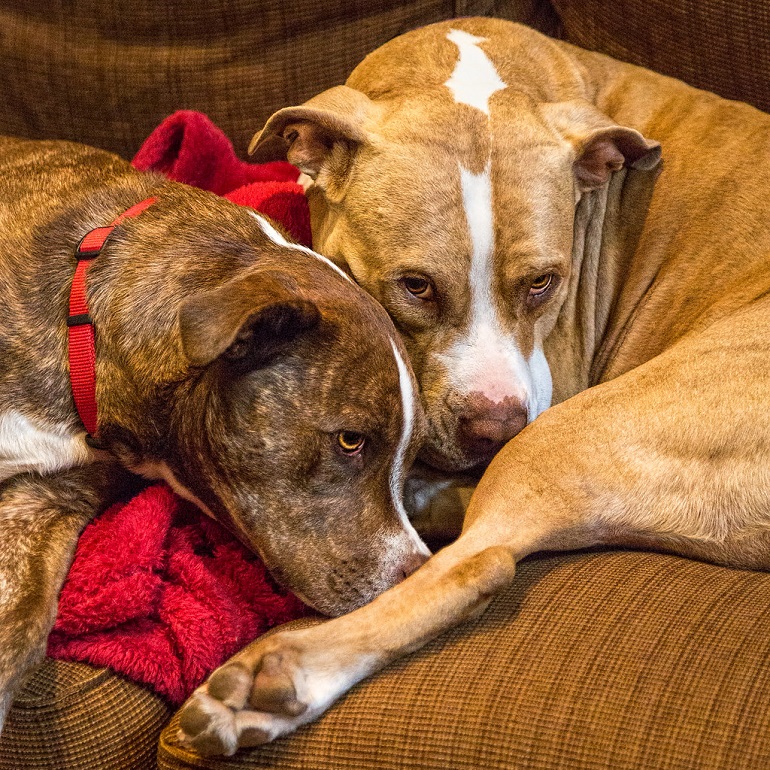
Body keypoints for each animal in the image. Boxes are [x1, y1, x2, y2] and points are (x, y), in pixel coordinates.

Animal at [177, 16, 768, 752]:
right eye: (416, 286)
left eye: (543, 282)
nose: (496, 425)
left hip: (568, 436)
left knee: (476, 565)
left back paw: (274, 685)